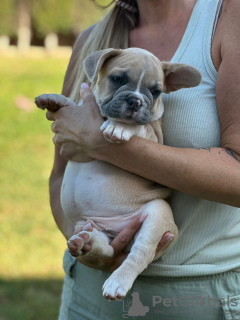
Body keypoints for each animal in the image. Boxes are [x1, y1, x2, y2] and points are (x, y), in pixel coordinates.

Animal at [34, 47, 202, 300]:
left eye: (156, 92)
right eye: (118, 79)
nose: (136, 100)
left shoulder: (155, 137)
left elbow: (139, 126)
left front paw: (119, 127)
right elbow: (75, 103)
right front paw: (54, 99)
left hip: (156, 214)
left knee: (139, 253)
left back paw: (117, 281)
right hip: (87, 224)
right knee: (105, 251)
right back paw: (86, 243)